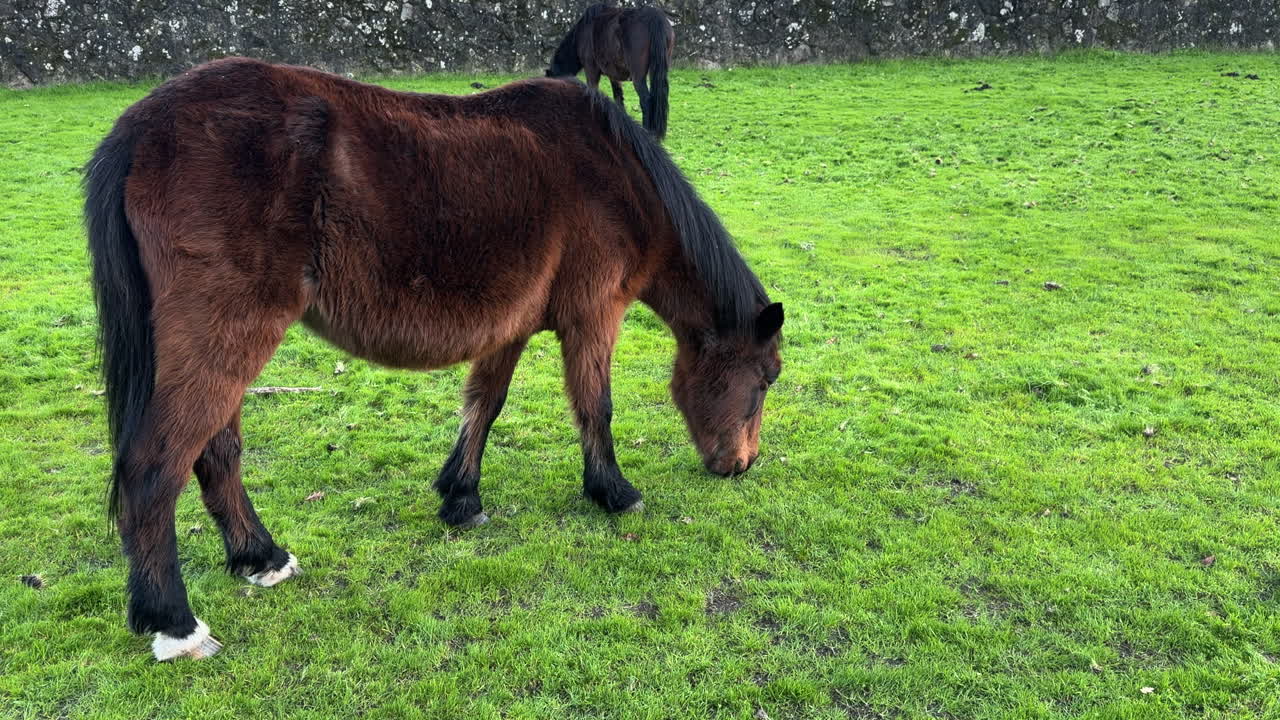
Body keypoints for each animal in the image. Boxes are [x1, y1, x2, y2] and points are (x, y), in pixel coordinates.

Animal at [83, 57, 783, 661]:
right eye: (764, 380)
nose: (741, 465)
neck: (615, 173)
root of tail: (142, 125)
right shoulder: (593, 316)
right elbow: (595, 407)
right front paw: (612, 491)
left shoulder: (510, 328)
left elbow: (485, 404)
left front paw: (461, 496)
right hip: (225, 333)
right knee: (156, 466)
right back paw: (175, 623)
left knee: (216, 453)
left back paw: (261, 558)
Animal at [546, 3, 674, 139]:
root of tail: (654, 15)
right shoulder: (614, 76)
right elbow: (618, 99)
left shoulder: (591, 71)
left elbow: (593, 94)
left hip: (638, 77)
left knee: (646, 100)